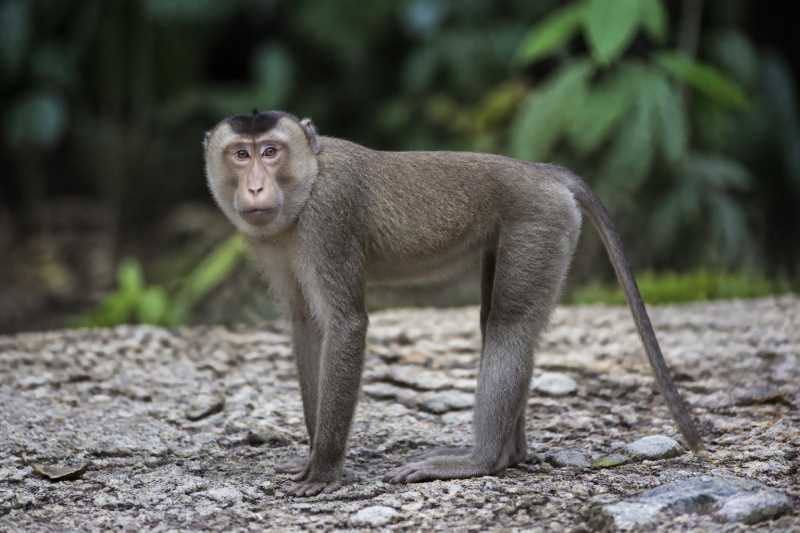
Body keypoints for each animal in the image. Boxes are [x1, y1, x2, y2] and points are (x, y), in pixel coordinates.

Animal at [203, 110, 703, 497]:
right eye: (241, 154)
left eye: (270, 151)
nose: (254, 188)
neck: (307, 183)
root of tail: (540, 171)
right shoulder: (268, 243)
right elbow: (306, 324)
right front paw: (309, 456)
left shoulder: (329, 217)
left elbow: (345, 325)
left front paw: (324, 469)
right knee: (495, 321)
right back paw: (511, 454)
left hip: (539, 220)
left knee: (507, 325)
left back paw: (482, 460)